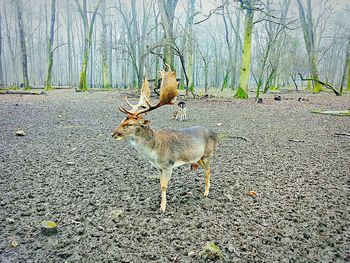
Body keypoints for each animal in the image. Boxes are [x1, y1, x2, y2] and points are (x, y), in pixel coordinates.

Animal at [112, 69, 217, 213]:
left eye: (130, 124)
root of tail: (216, 134)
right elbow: (160, 184)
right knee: (208, 170)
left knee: (208, 171)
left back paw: (206, 193)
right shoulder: (159, 167)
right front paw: (159, 203)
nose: (114, 133)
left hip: (207, 155)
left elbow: (164, 186)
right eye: (122, 120)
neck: (154, 152)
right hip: (198, 158)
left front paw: (162, 208)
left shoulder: (168, 165)